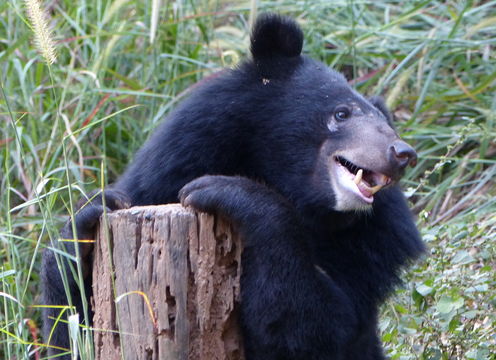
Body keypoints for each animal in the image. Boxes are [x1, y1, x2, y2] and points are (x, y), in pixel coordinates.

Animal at [40, 13, 424, 360]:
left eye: (387, 125)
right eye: (341, 113)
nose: (402, 153)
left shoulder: (374, 242)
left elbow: (319, 327)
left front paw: (223, 191)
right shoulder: (174, 161)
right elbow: (70, 329)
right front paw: (93, 212)